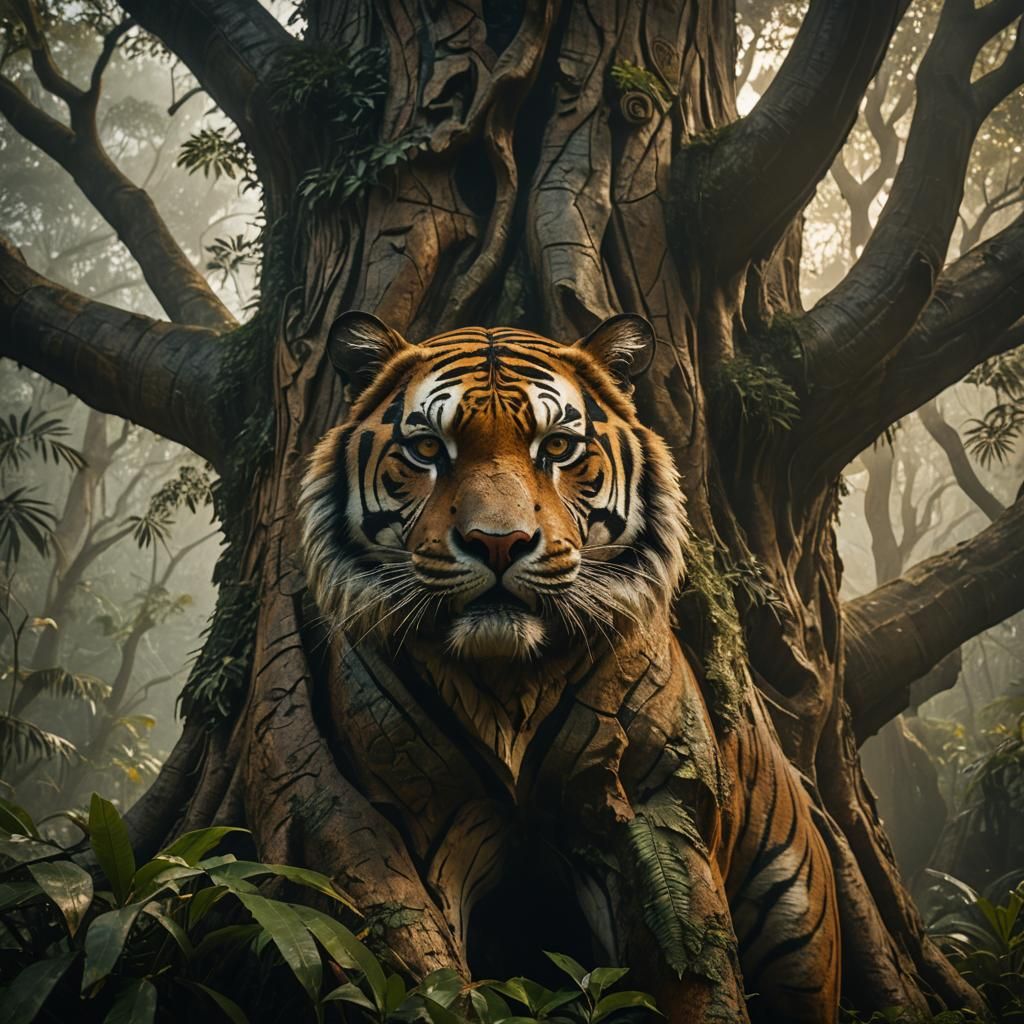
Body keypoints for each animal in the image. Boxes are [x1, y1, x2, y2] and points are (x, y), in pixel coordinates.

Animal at [299, 310, 840, 1024]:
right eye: (428, 450)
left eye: (556, 447)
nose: (497, 542)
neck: (506, 681)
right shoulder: (417, 817)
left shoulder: (653, 805)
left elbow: (692, 965)